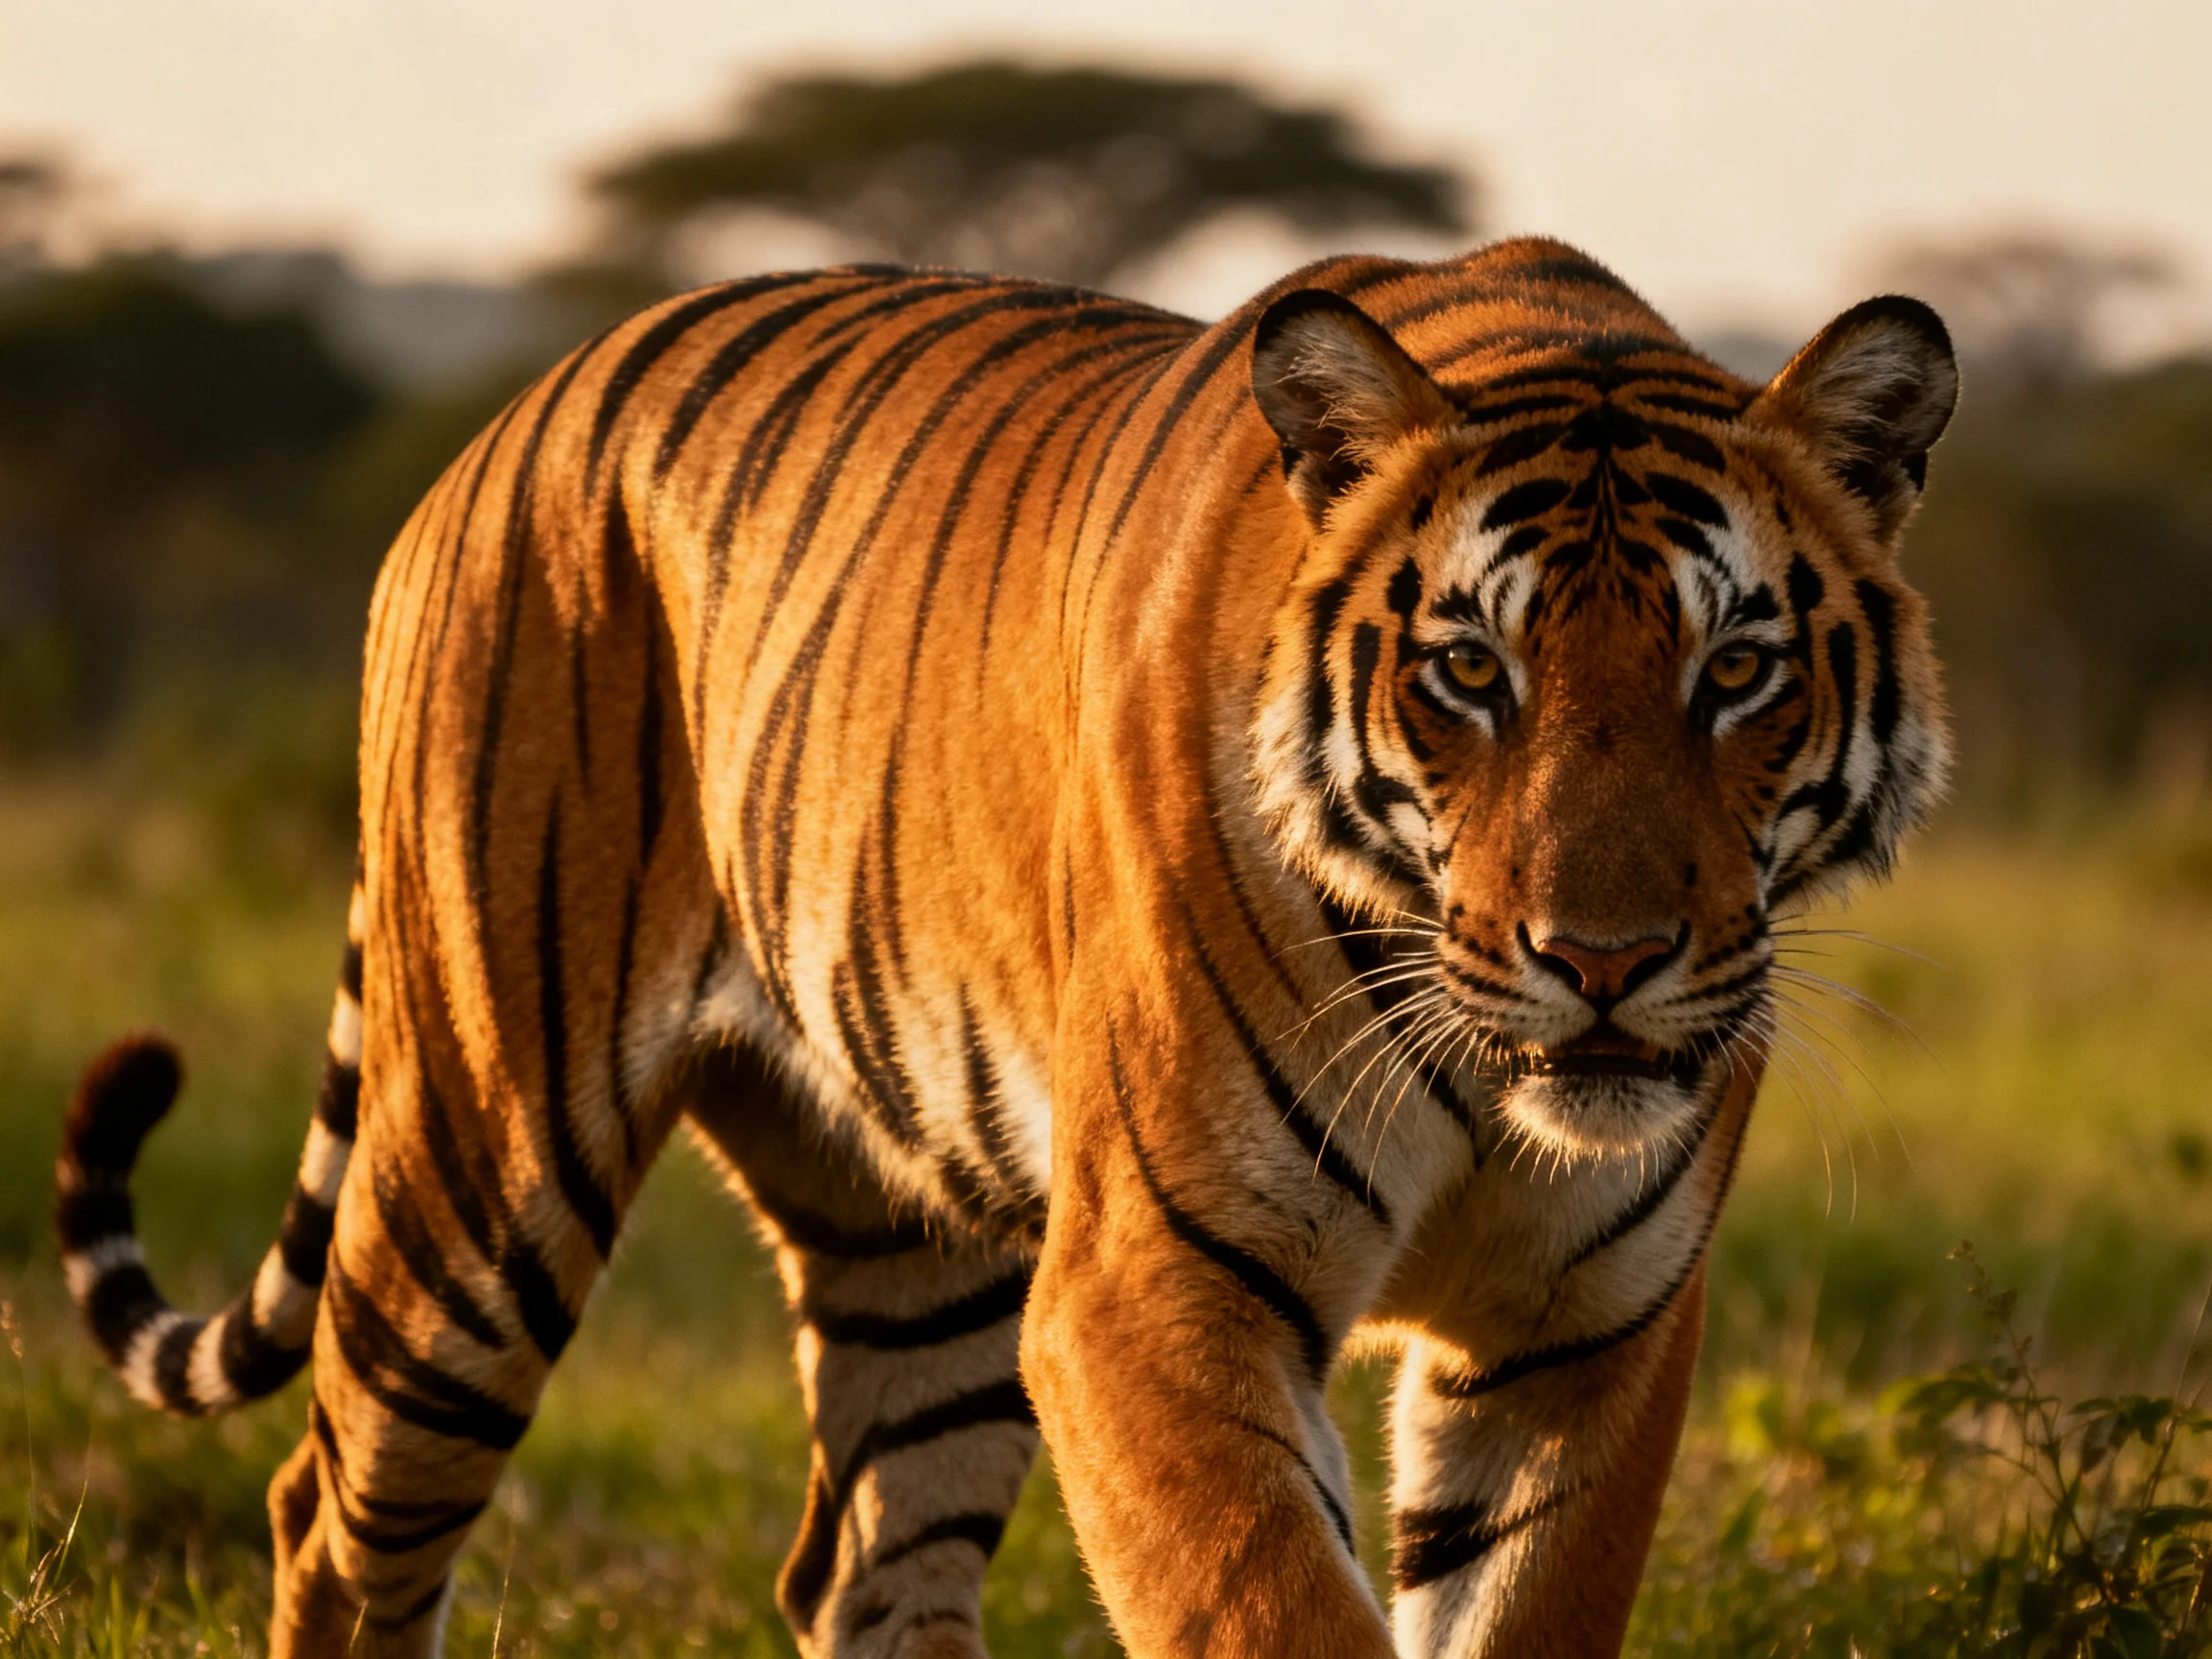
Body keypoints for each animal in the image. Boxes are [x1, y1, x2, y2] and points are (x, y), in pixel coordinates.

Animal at [55, 236, 1955, 1659]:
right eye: (1469, 672)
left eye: (1735, 671)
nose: (1603, 959)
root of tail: (517, 411)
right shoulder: (1149, 1286)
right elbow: (1275, 1609)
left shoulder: (1583, 1334)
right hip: (479, 1157)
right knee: (334, 1518)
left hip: (915, 1242)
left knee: (861, 1564)